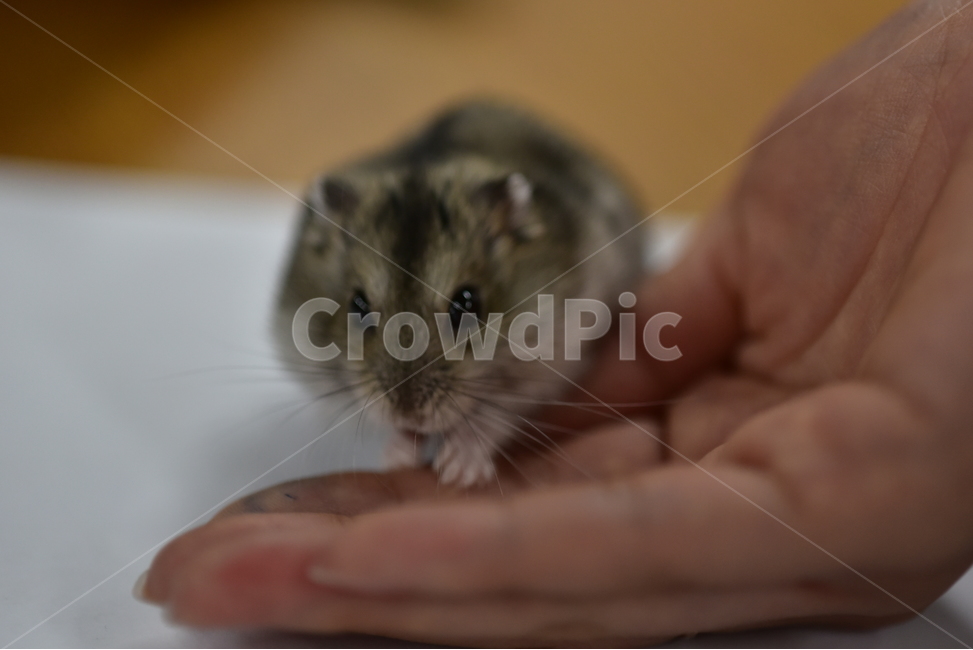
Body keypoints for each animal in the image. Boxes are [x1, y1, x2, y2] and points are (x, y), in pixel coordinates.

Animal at [275, 101, 645, 486]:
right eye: (357, 305)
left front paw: (457, 472)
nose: (408, 413)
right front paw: (397, 458)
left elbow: (496, 413)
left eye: (468, 303)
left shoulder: (555, 361)